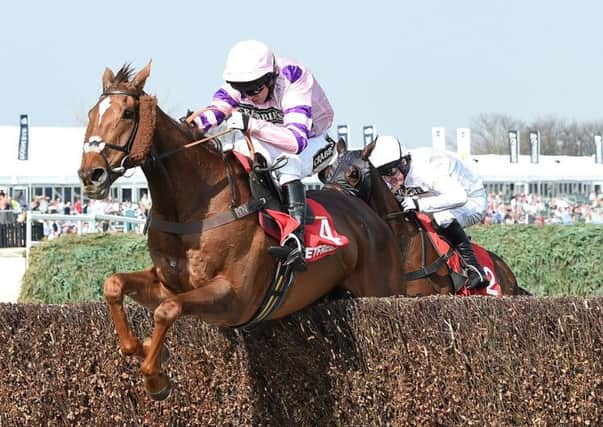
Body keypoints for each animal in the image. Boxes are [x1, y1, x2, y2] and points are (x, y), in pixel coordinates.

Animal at [76, 62, 406, 402]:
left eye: (128, 113)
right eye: (91, 113)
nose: (91, 174)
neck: (195, 206)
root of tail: (368, 213)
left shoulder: (234, 298)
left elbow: (167, 311)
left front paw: (156, 379)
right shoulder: (168, 282)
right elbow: (114, 285)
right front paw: (143, 348)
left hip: (382, 289)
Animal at [326, 140, 528, 298]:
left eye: (354, 174)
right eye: (328, 172)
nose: (330, 197)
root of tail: (507, 272)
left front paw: (411, 203)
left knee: (445, 216)